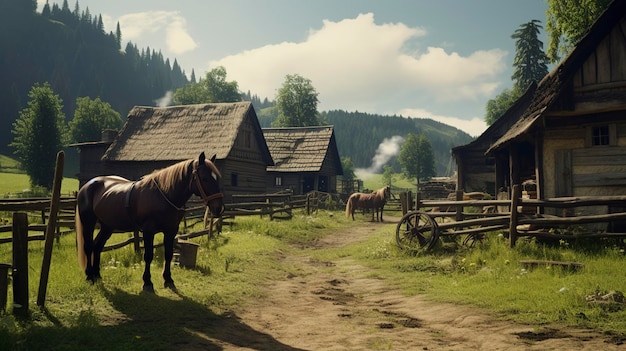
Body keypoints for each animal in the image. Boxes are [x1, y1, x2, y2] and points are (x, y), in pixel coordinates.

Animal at [75, 153, 223, 292]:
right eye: (204, 178)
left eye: (218, 177)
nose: (218, 208)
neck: (164, 195)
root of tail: (86, 187)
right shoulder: (148, 230)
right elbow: (148, 256)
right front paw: (147, 282)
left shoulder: (171, 230)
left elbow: (168, 254)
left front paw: (168, 279)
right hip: (88, 223)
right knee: (88, 247)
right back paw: (89, 276)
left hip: (107, 226)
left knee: (97, 246)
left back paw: (97, 275)